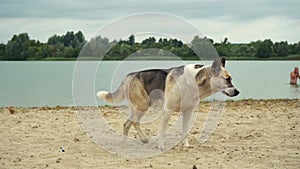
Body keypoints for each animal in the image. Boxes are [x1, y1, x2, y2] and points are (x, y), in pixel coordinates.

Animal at [96, 57, 239, 150]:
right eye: (227, 79)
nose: (237, 92)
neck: (194, 81)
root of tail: (130, 75)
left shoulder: (187, 112)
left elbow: (185, 130)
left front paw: (185, 145)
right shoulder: (168, 111)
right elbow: (163, 130)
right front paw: (160, 146)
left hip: (136, 108)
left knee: (127, 124)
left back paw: (124, 142)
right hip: (143, 106)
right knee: (135, 123)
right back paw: (144, 139)